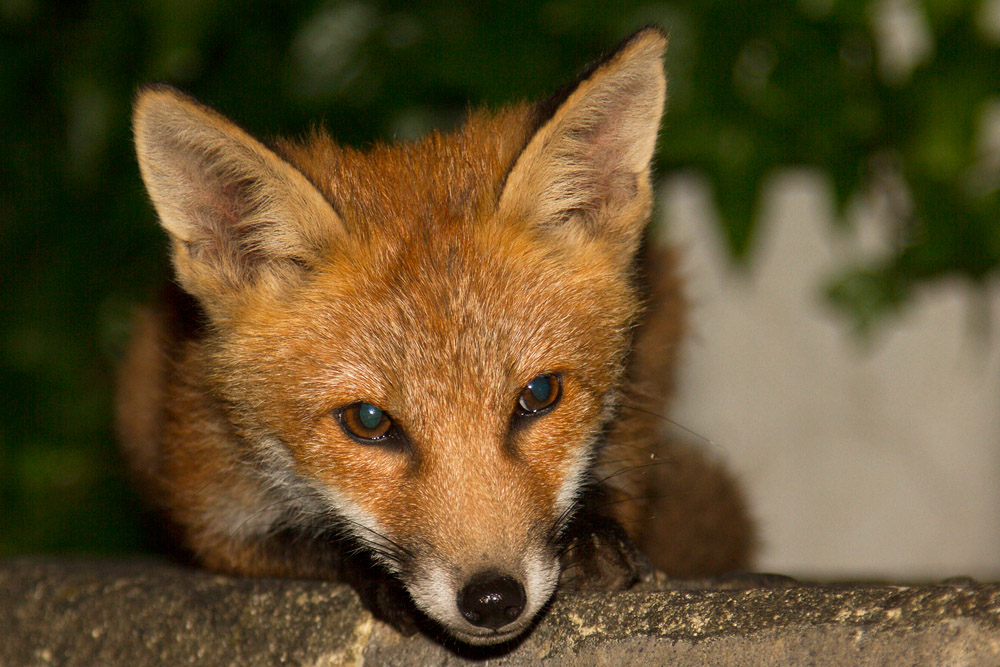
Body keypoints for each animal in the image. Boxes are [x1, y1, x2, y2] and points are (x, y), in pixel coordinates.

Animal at [117, 26, 752, 646]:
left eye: (539, 395)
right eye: (367, 421)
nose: (493, 599)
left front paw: (592, 531)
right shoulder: (209, 503)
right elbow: (310, 543)